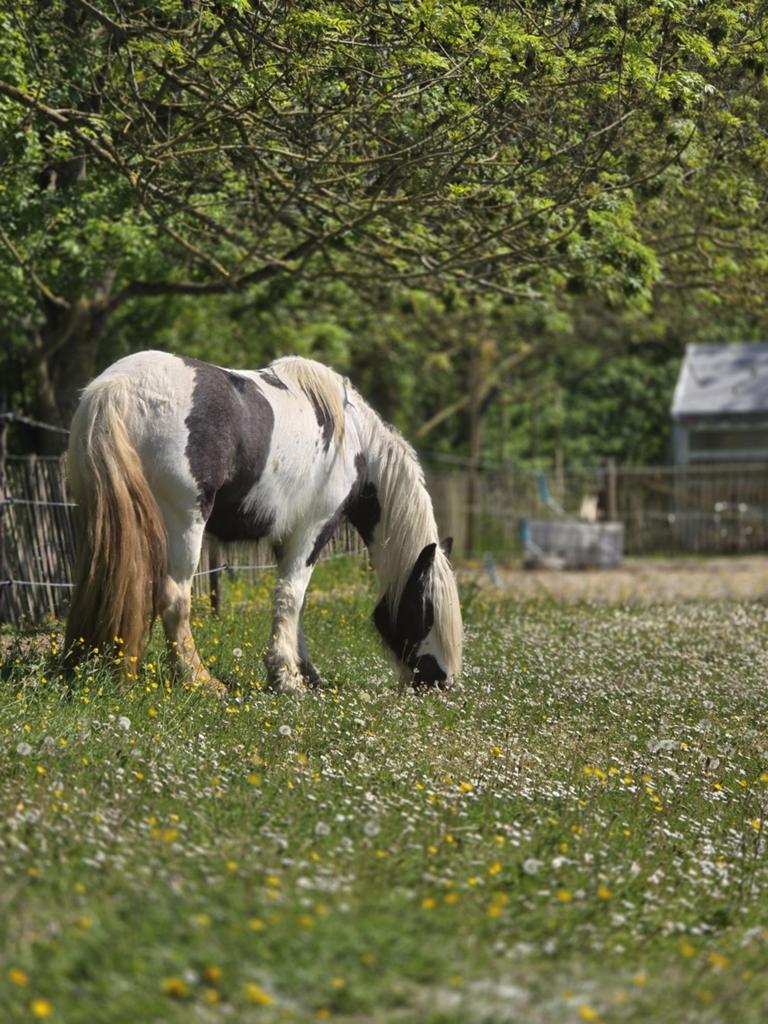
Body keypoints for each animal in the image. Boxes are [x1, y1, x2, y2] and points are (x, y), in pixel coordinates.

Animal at [64, 350, 462, 695]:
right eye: (426, 609)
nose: (439, 681)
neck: (353, 439)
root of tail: (115, 388)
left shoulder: (285, 538)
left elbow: (295, 603)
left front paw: (305, 673)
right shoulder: (313, 530)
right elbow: (290, 595)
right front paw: (287, 679)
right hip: (184, 524)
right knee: (174, 596)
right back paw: (200, 679)